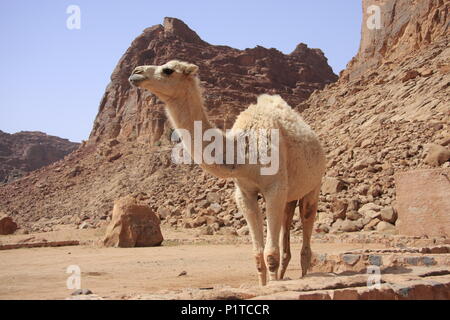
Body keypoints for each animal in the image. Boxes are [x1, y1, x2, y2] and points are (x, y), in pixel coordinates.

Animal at [128, 60, 326, 284]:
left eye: (168, 70)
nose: (136, 72)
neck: (241, 152)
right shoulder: (245, 192)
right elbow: (258, 256)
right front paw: (265, 285)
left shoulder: (274, 188)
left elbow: (270, 255)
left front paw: (274, 285)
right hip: (290, 193)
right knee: (286, 226)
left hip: (313, 184)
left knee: (306, 226)